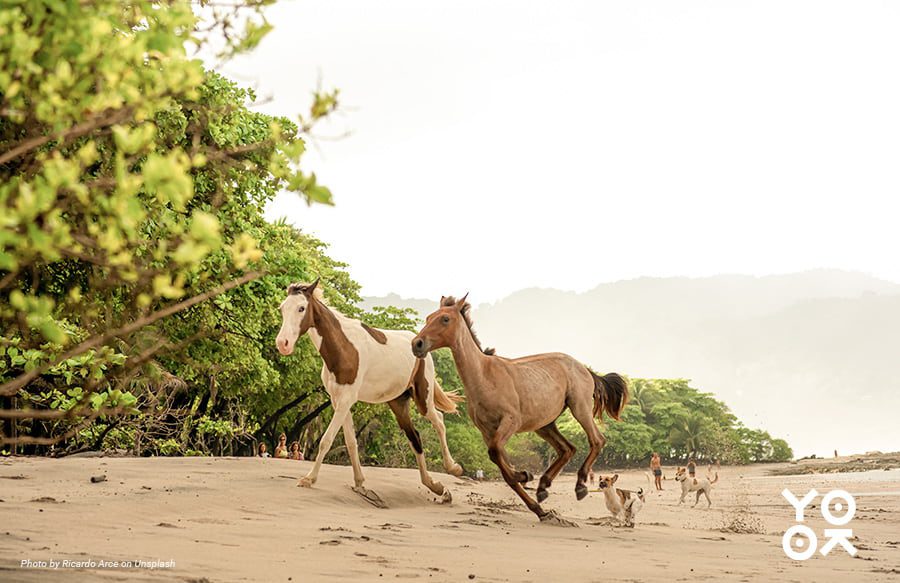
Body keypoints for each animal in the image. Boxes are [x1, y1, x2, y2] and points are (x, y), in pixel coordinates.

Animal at [276, 280, 464, 506]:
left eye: (301, 308)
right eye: (282, 308)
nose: (283, 344)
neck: (344, 348)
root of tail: (419, 344)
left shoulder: (346, 400)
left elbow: (326, 440)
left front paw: (309, 479)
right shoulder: (339, 401)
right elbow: (350, 442)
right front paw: (359, 482)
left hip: (423, 398)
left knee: (440, 421)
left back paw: (453, 468)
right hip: (398, 403)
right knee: (415, 438)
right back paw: (436, 487)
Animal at [414, 294, 628, 528]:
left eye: (445, 319)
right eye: (428, 317)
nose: (417, 344)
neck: (485, 376)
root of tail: (585, 368)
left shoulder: (510, 421)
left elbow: (498, 457)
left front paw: (526, 481)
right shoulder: (487, 431)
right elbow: (500, 463)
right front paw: (532, 492)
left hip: (579, 408)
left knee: (597, 440)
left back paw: (579, 486)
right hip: (544, 424)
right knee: (567, 448)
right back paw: (543, 486)